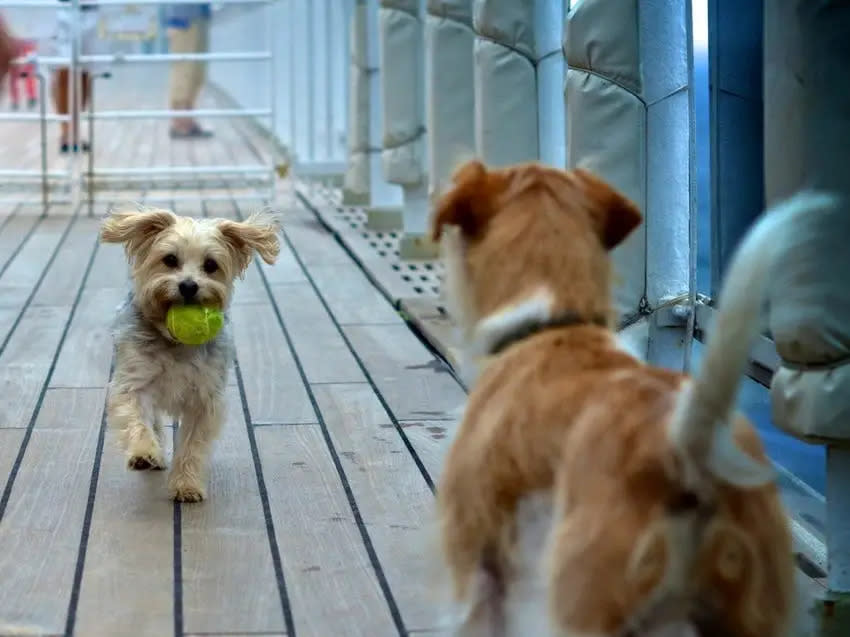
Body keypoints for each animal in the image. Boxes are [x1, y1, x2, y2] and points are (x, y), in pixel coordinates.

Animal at [99, 209, 278, 502]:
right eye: (170, 259)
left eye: (211, 265)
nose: (188, 286)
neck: (175, 343)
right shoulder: (134, 381)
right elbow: (136, 417)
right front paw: (143, 452)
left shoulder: (205, 398)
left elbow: (193, 445)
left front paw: (186, 484)